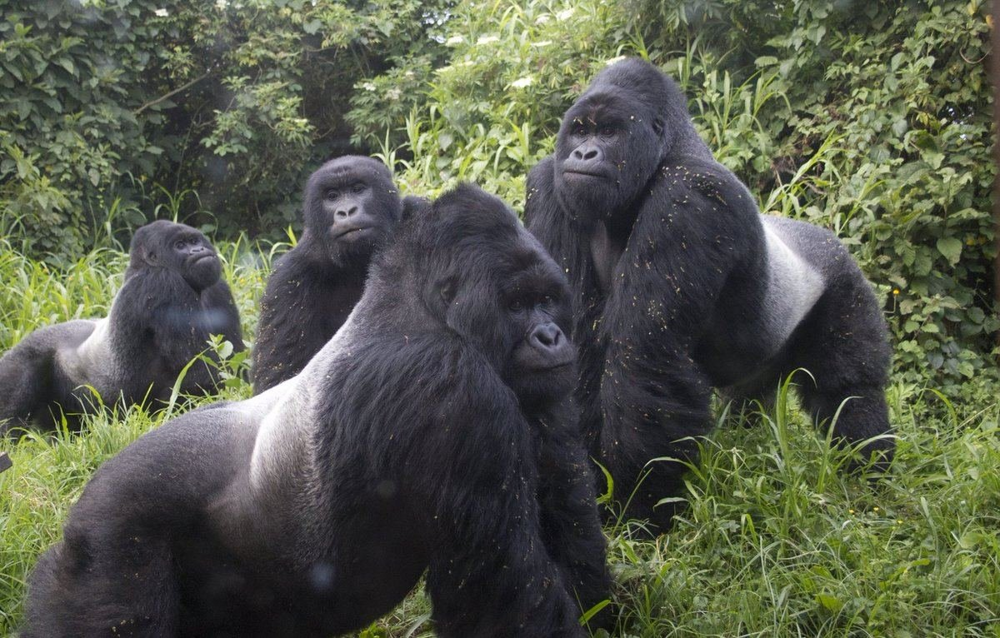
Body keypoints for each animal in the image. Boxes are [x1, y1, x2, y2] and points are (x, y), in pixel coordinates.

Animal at [0, 220, 244, 436]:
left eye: (194, 240)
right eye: (180, 245)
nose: (199, 249)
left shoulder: (217, 288)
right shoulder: (162, 282)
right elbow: (200, 374)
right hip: (20, 359)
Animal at [528, 60, 896, 532]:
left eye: (609, 132)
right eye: (579, 131)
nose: (583, 155)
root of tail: (830, 239)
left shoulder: (689, 196)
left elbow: (644, 357)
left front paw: (640, 506)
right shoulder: (549, 186)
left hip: (844, 280)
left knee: (848, 391)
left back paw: (869, 476)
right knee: (749, 400)